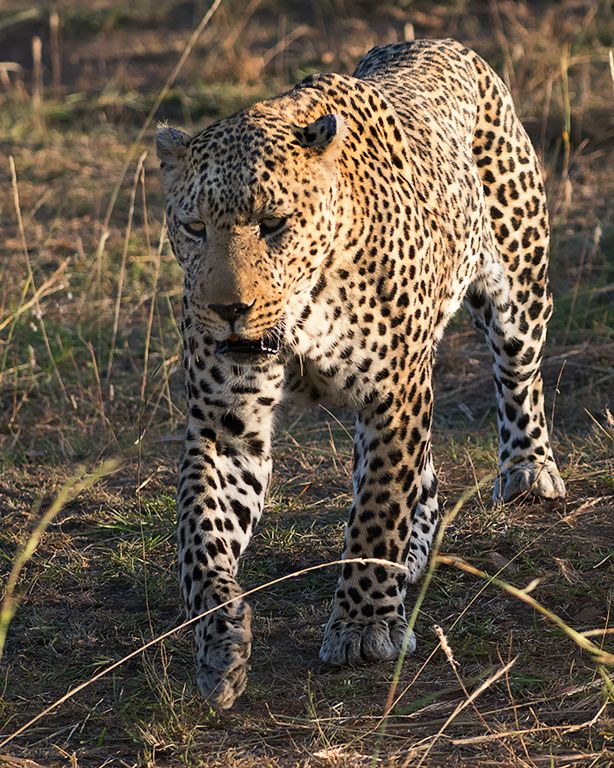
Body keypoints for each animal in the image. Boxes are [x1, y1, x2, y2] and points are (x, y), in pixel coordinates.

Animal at [156, 38, 566, 710]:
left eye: (274, 224)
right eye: (194, 228)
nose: (228, 309)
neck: (300, 313)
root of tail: (438, 42)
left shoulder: (394, 396)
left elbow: (377, 508)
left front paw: (362, 626)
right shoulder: (224, 426)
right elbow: (201, 536)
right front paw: (219, 643)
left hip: (520, 282)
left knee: (516, 377)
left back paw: (529, 470)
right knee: (421, 477)